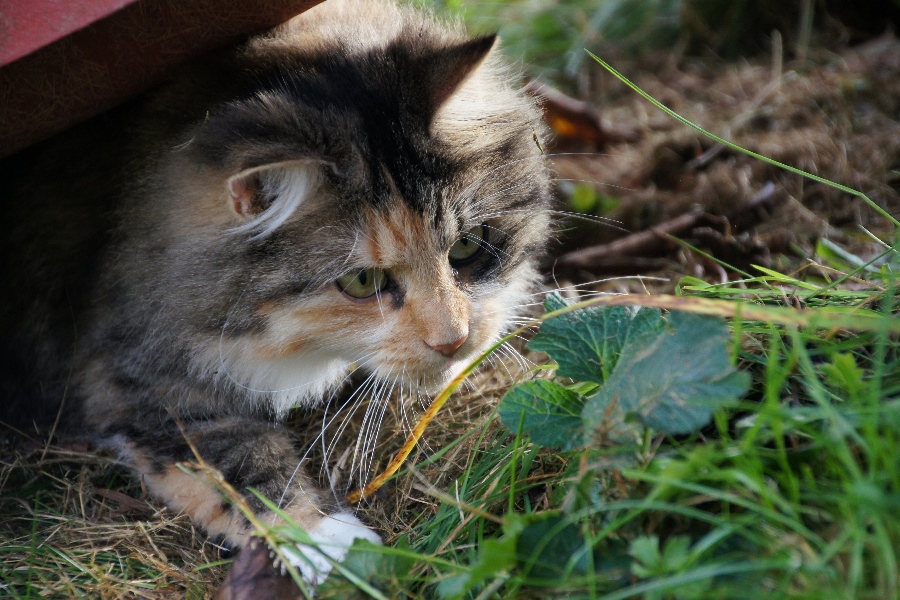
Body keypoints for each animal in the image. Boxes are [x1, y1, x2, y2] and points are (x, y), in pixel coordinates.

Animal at [0, 0, 552, 584]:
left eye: (467, 246)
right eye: (362, 281)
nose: (455, 341)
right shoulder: (130, 380)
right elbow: (243, 462)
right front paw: (331, 543)